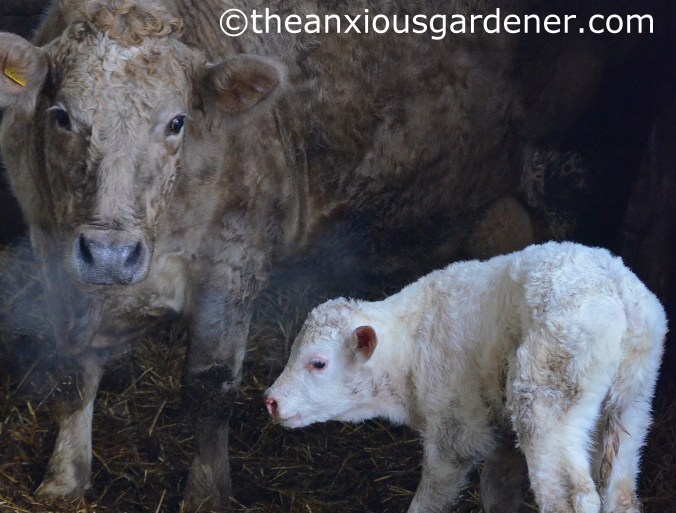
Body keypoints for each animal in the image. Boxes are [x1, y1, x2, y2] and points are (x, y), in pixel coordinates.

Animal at [0, 0, 612, 510]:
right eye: (61, 116)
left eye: (177, 121)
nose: (111, 254)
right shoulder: (53, 251)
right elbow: (73, 371)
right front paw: (64, 479)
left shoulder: (235, 260)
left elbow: (208, 386)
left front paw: (207, 494)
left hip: (561, 172)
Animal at [265, 242, 667, 513]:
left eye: (318, 363)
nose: (270, 400)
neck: (410, 346)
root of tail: (616, 286)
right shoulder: (500, 430)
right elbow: (498, 490)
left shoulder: (455, 424)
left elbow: (435, 491)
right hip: (632, 401)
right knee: (619, 490)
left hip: (548, 393)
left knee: (571, 496)